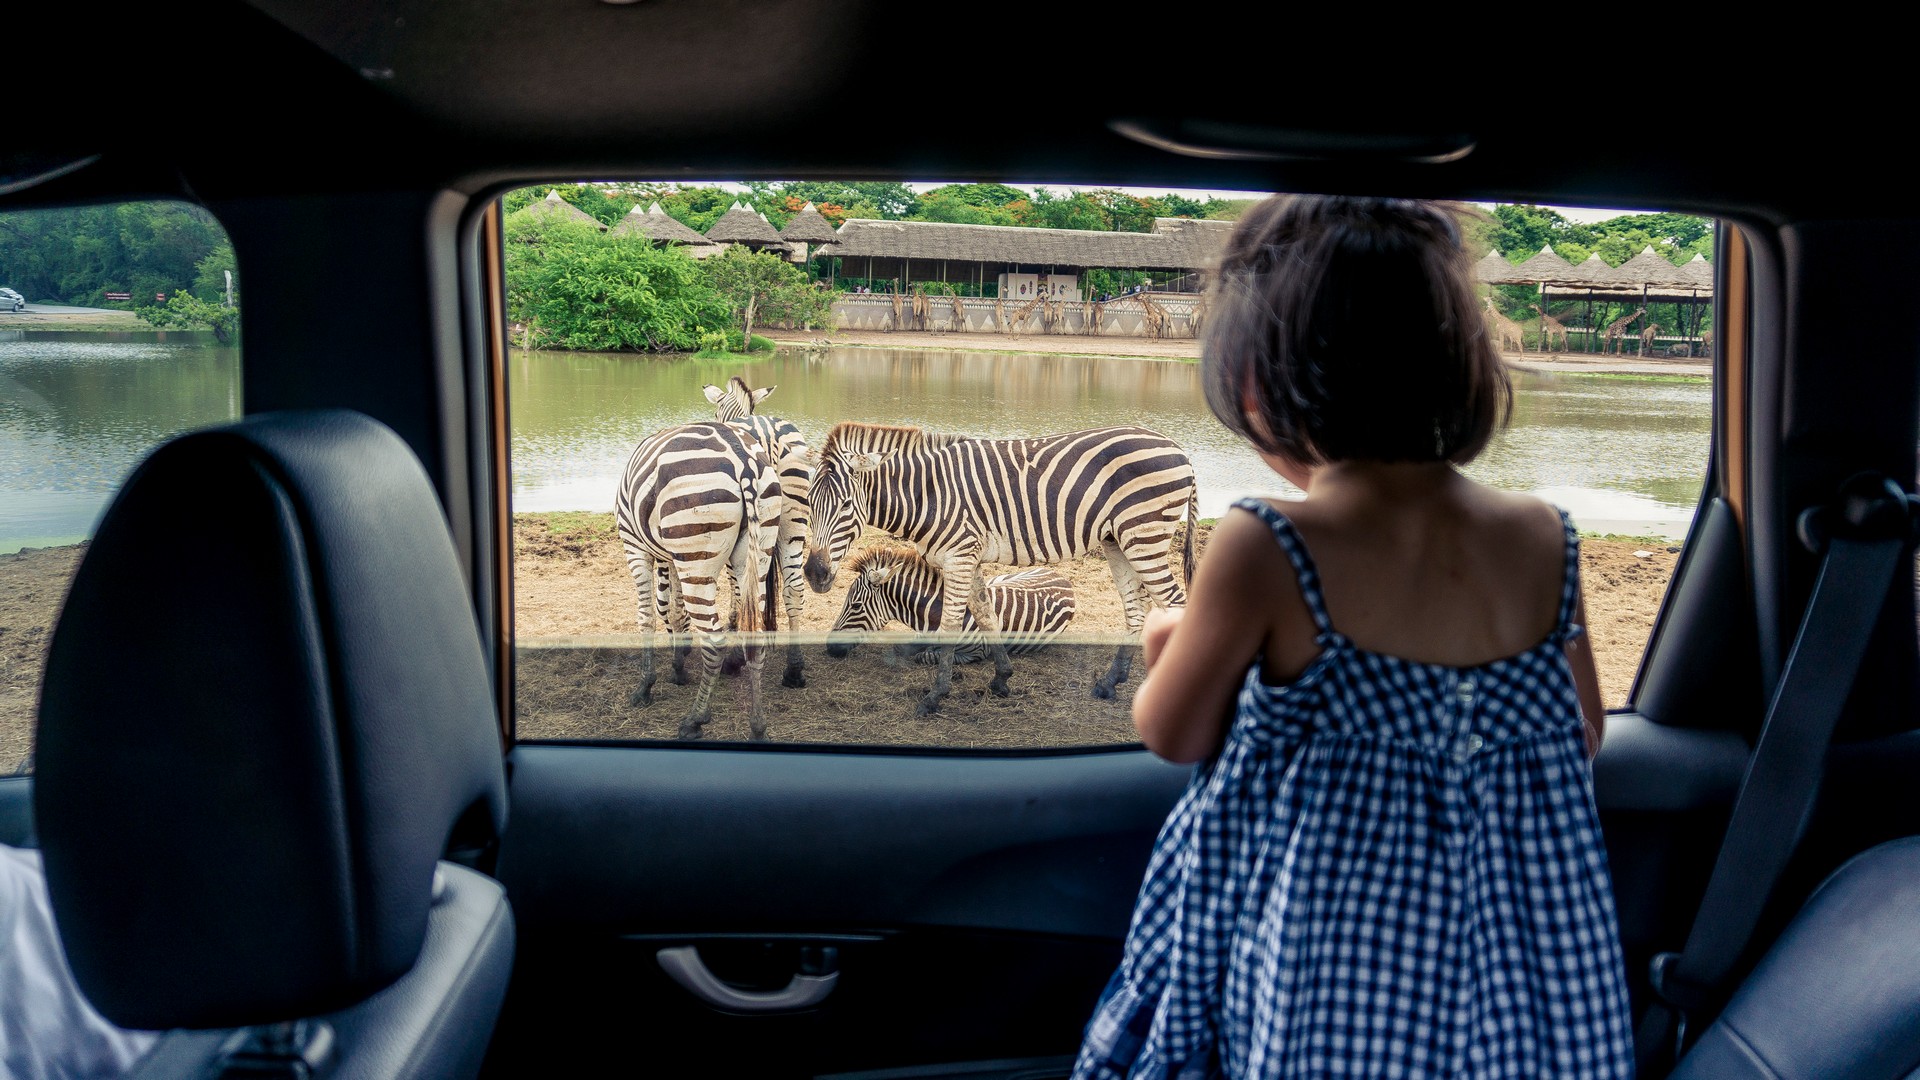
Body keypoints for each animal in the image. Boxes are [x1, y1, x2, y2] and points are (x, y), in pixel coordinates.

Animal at [622, 417, 787, 734]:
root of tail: (743, 461)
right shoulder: (672, 557)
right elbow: (675, 612)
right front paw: (677, 666)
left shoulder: (635, 546)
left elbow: (648, 615)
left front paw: (645, 686)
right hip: (757, 550)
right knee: (755, 638)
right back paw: (758, 723)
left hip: (696, 549)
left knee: (713, 643)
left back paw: (695, 718)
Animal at [706, 374, 810, 684]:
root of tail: (769, 433)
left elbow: (735, 587)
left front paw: (732, 621)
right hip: (793, 520)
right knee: (794, 587)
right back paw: (794, 669)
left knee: (748, 590)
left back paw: (736, 659)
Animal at [833, 541, 1082, 661]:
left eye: (855, 605)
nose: (829, 647)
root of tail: (1062, 578)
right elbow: (901, 647)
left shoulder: (976, 653)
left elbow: (927, 656)